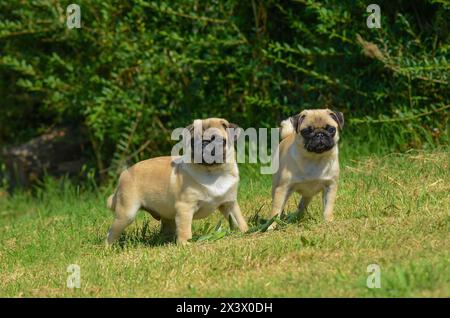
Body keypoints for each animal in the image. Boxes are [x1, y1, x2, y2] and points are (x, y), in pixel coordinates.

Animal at [106, 118, 250, 245]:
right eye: (193, 141)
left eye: (218, 140)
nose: (203, 144)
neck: (213, 172)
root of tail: (124, 173)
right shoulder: (185, 208)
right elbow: (185, 229)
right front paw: (185, 244)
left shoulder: (229, 204)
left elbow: (239, 219)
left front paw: (245, 231)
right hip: (126, 214)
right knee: (111, 233)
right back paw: (110, 248)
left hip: (166, 218)